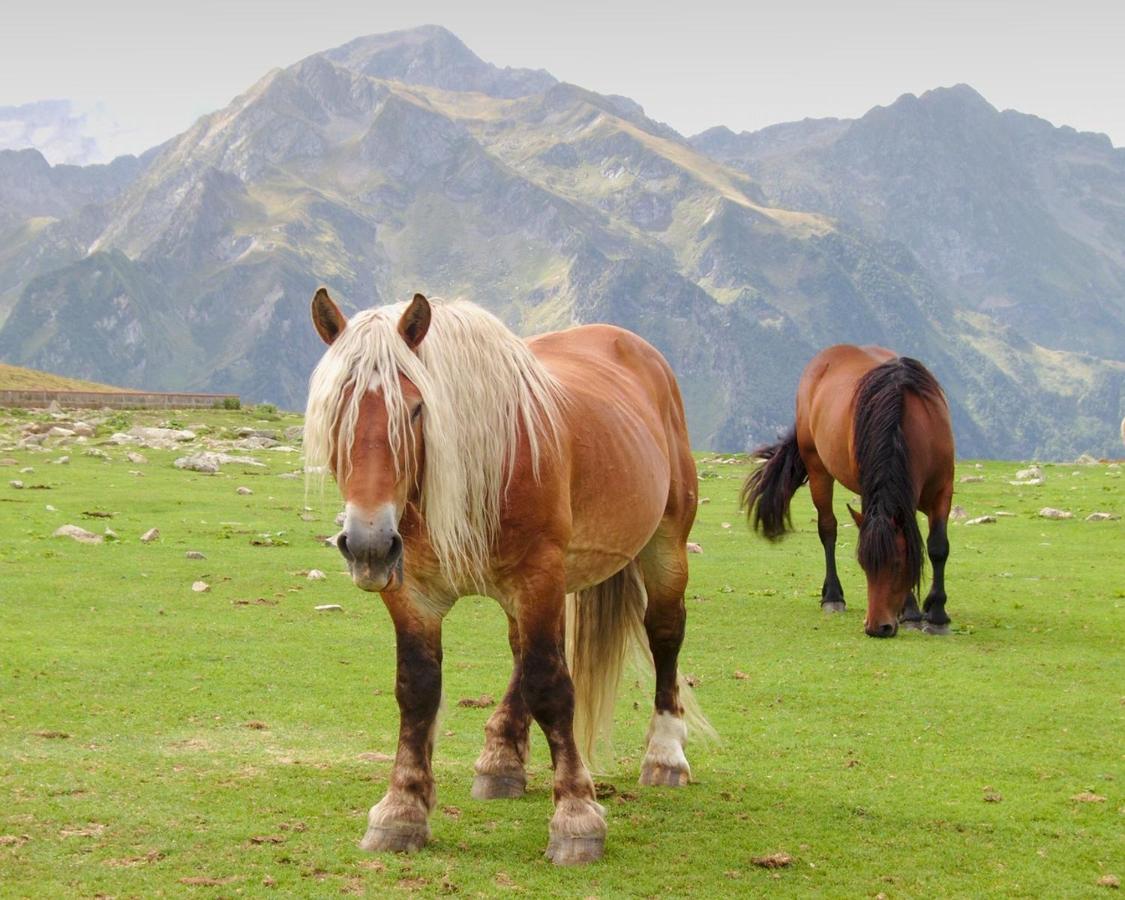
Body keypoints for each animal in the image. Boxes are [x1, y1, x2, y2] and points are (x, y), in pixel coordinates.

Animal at [303, 288, 706, 864]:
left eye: (417, 408)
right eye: (335, 410)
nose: (368, 545)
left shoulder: (538, 574)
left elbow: (552, 687)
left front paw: (576, 817)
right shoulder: (414, 592)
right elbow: (417, 688)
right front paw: (401, 810)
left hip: (663, 545)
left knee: (664, 633)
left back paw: (666, 754)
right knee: (523, 652)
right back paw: (501, 758)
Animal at [742, 344, 954, 639]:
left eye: (897, 564)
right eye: (863, 565)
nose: (877, 627)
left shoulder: (943, 490)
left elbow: (937, 547)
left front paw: (937, 615)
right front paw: (911, 612)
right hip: (818, 468)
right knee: (827, 529)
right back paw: (832, 596)